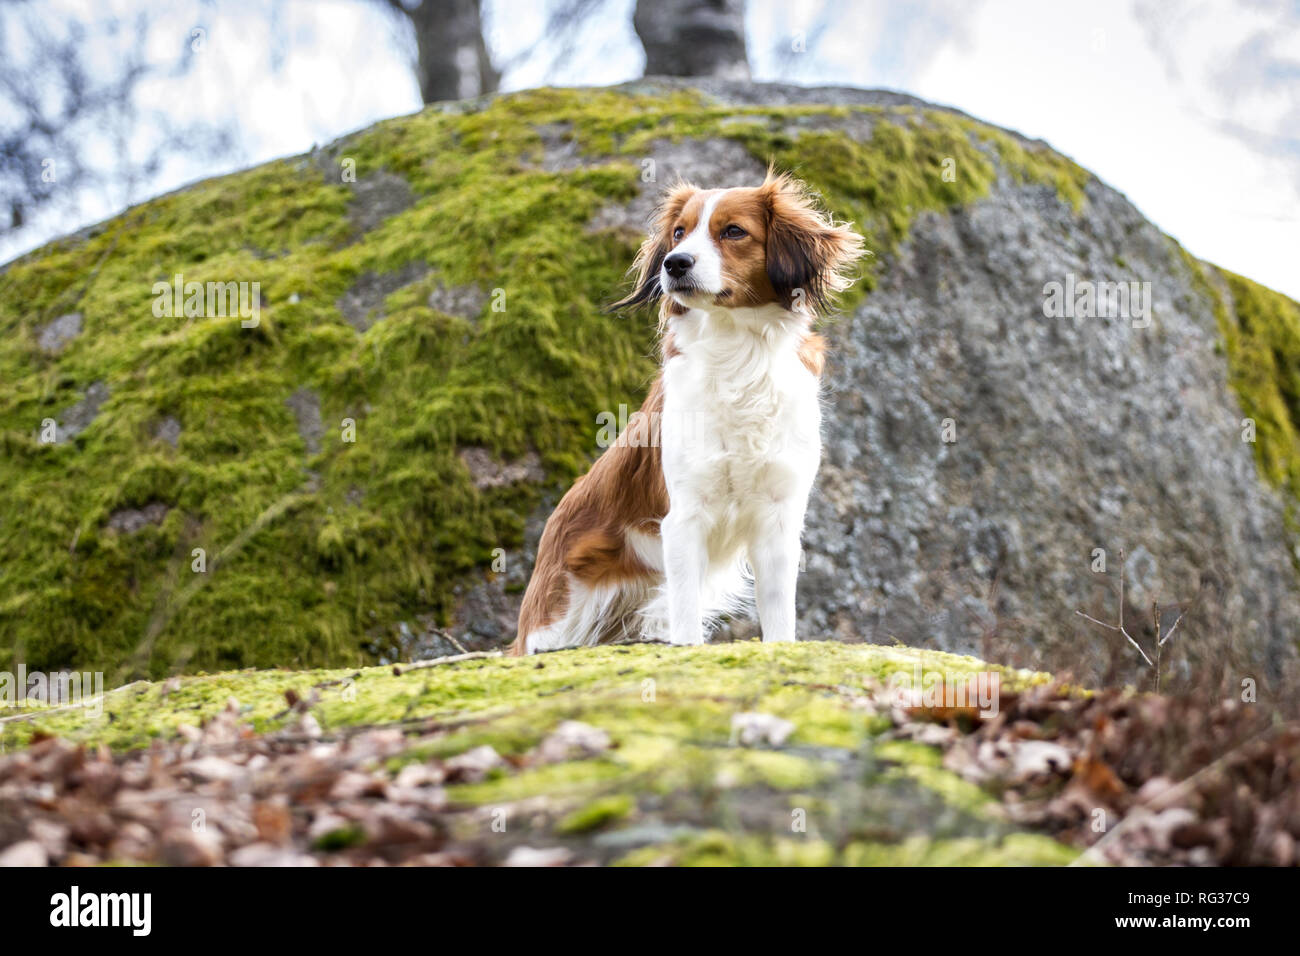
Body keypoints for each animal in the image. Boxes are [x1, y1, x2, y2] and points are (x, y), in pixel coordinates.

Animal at [506, 167, 863, 655]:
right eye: (679, 232)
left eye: (733, 231)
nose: (674, 263)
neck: (738, 358)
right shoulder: (684, 517)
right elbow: (687, 617)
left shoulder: (778, 518)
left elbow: (778, 616)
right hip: (559, 618)